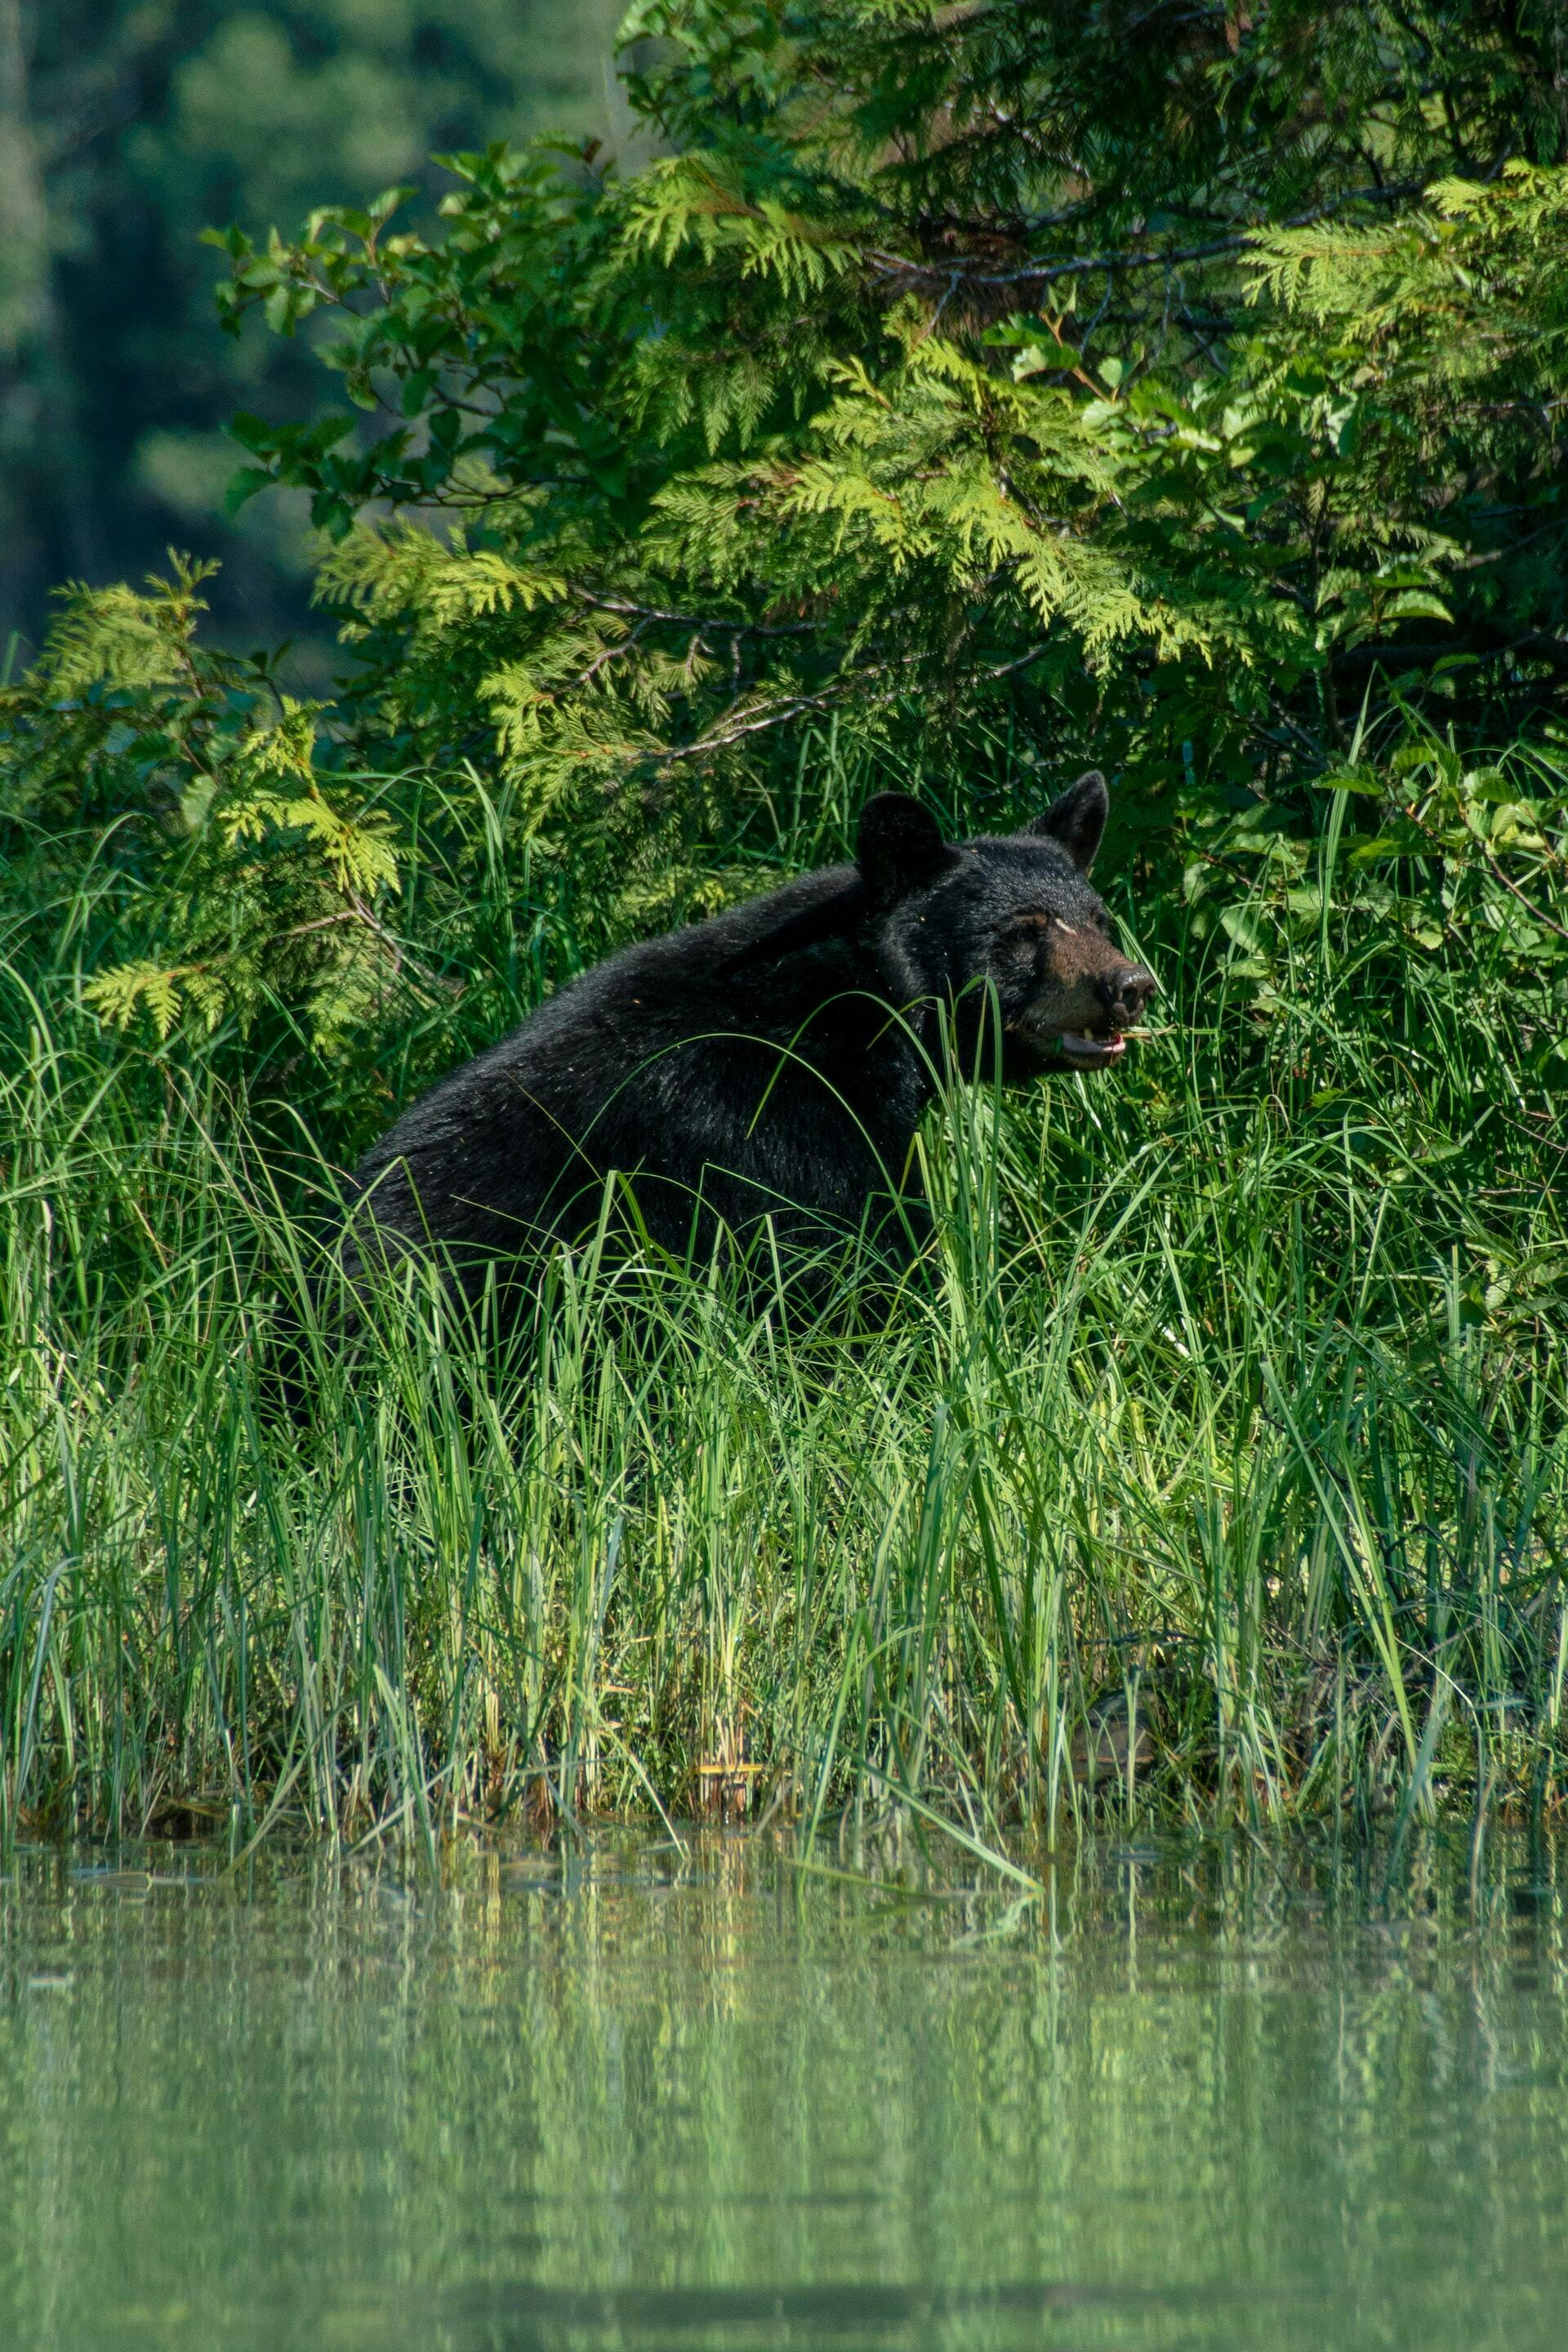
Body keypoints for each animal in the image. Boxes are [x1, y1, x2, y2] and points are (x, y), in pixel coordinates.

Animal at [343, 776, 1152, 1316]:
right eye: (1025, 929)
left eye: (1099, 918)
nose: (1130, 985)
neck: (853, 1010)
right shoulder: (772, 1125)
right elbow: (852, 1258)